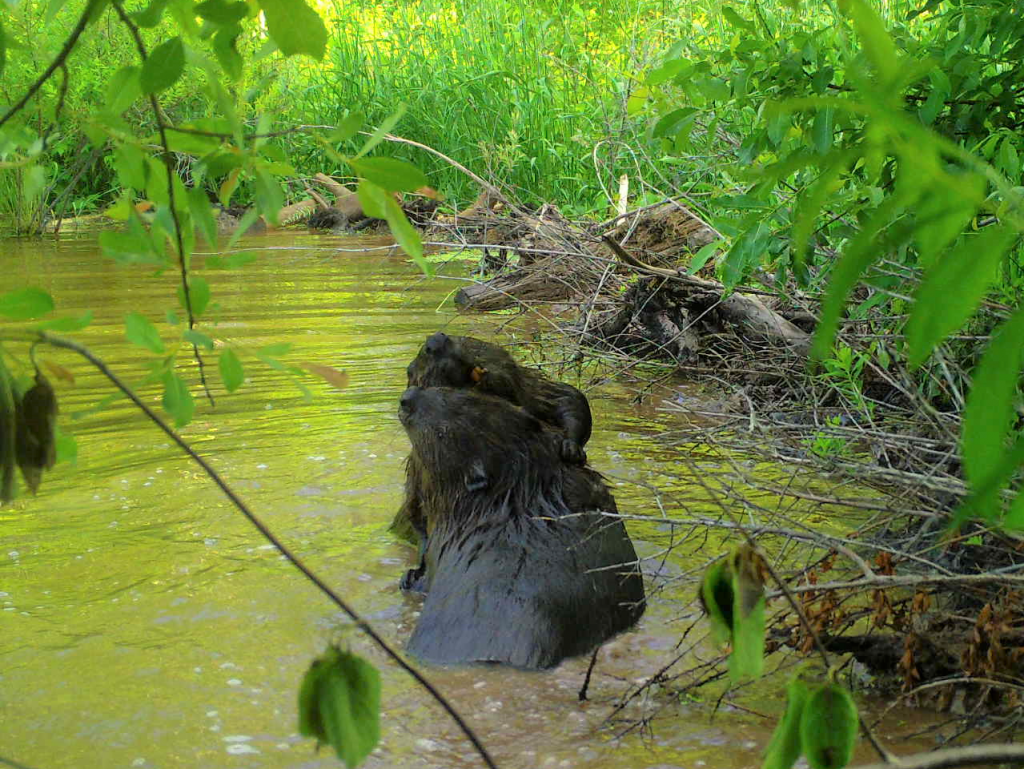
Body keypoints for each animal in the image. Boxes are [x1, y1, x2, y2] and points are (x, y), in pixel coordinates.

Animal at [389, 331, 593, 548]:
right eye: (411, 369)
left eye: (468, 339)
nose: (435, 341)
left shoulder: (530, 386)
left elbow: (567, 396)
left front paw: (572, 449)